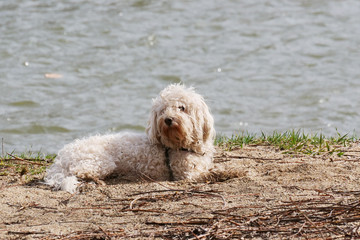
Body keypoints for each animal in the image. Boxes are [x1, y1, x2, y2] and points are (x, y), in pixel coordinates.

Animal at [44, 84, 215, 193]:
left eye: (182, 107)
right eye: (163, 110)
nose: (168, 119)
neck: (179, 145)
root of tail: (61, 159)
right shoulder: (186, 174)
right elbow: (210, 174)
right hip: (100, 162)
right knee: (80, 172)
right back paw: (98, 181)